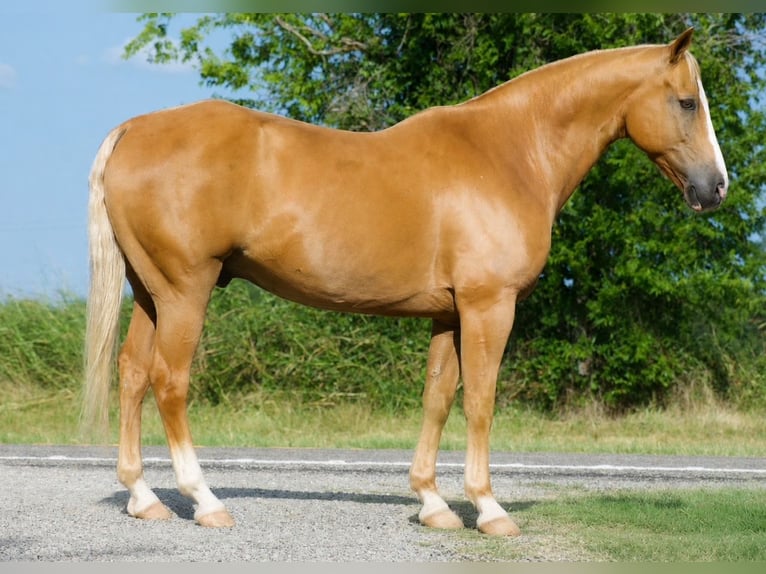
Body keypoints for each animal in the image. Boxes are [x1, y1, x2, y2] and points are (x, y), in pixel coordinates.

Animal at [83, 28, 727, 536]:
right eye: (686, 102)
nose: (716, 187)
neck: (511, 152)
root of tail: (132, 131)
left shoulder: (448, 312)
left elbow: (438, 399)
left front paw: (433, 503)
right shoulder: (489, 307)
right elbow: (481, 400)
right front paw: (489, 509)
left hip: (150, 293)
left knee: (133, 374)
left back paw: (143, 499)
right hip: (185, 292)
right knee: (169, 382)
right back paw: (205, 501)